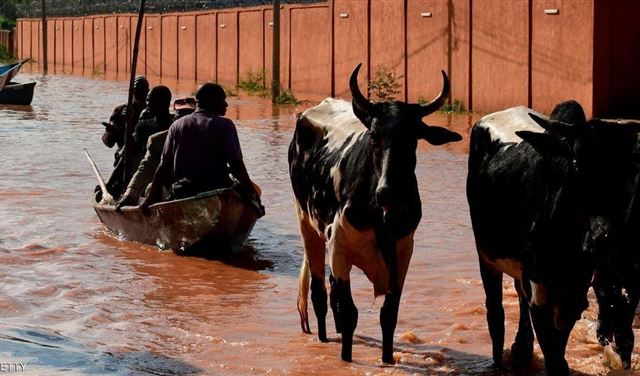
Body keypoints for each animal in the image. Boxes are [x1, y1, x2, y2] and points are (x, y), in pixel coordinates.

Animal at [288, 63, 460, 362]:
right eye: (374, 136)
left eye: (414, 138)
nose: (387, 192)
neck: (381, 215)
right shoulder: (338, 244)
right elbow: (349, 313)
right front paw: (345, 358)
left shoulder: (403, 252)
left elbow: (388, 315)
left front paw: (387, 359)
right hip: (306, 223)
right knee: (320, 293)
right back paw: (322, 338)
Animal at [468, 103, 640, 376]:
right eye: (577, 164)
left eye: (628, 172)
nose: (605, 235)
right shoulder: (541, 295)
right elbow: (553, 356)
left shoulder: (574, 295)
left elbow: (559, 352)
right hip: (486, 257)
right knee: (495, 315)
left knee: (518, 295)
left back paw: (522, 349)